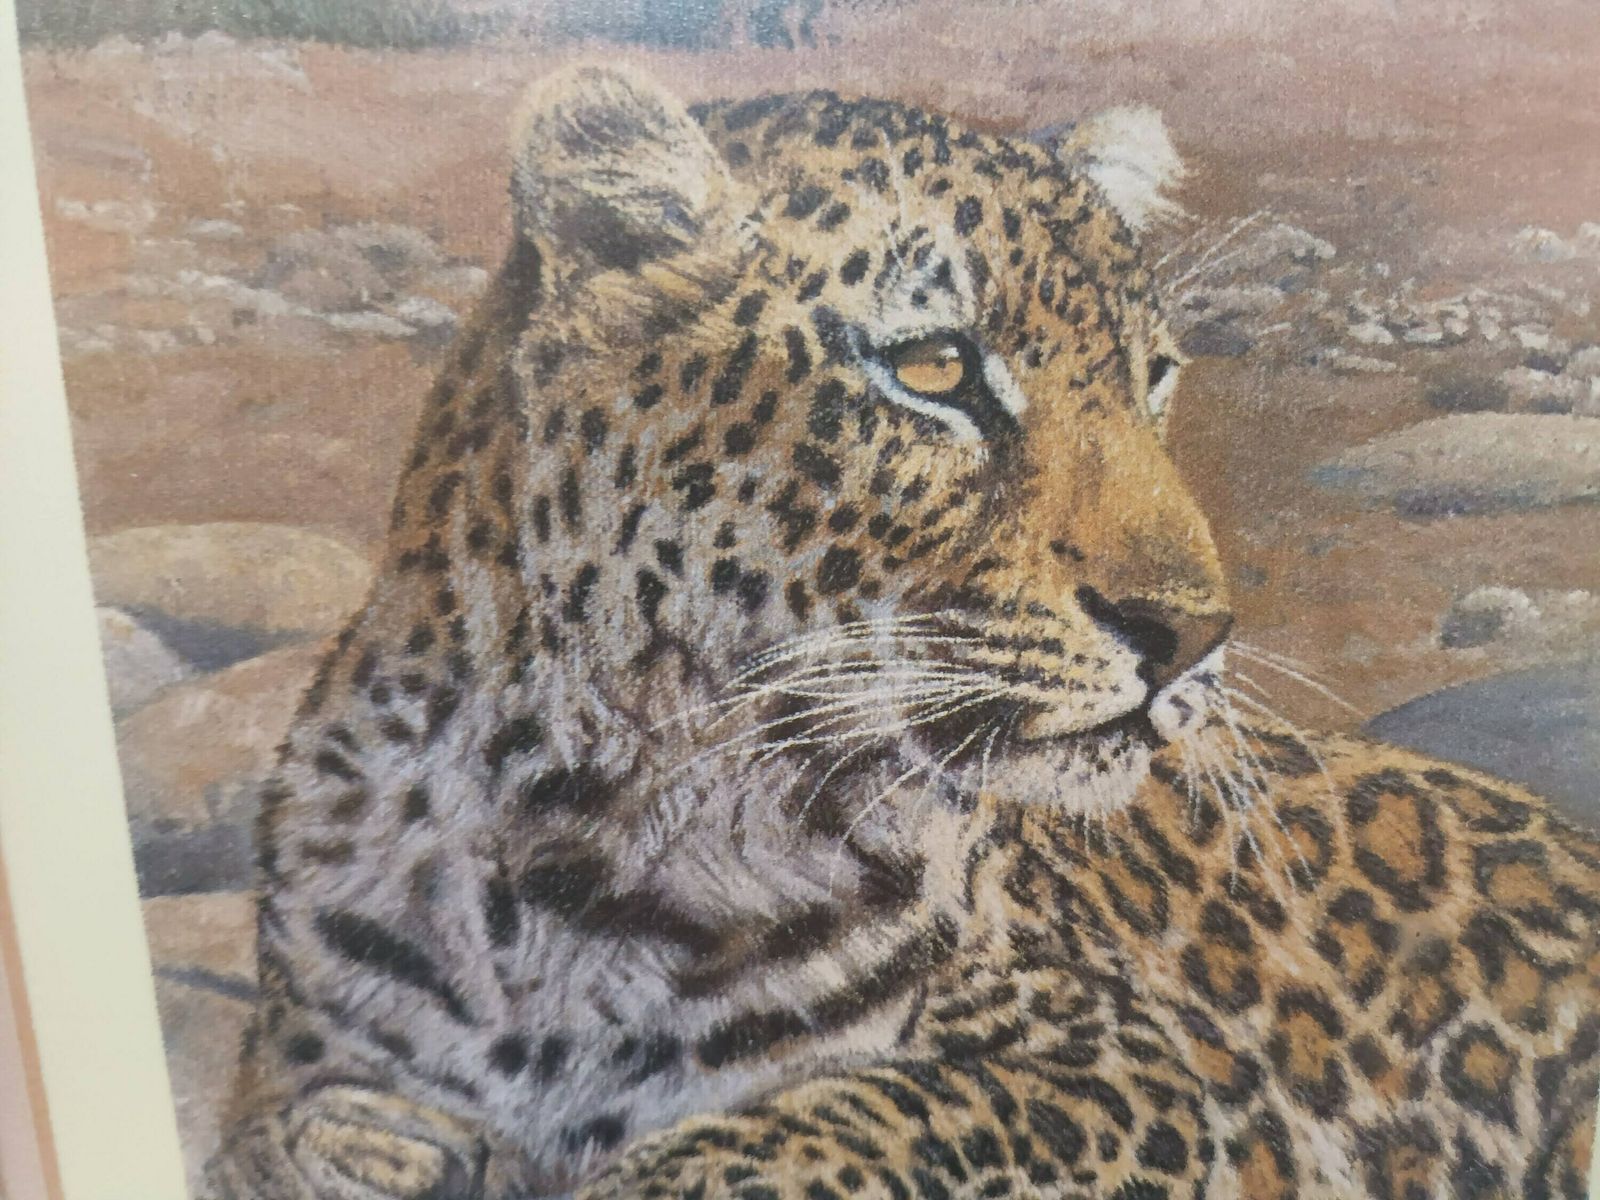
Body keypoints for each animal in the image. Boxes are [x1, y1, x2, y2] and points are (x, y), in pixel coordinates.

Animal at [204, 63, 1600, 1200]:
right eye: (934, 371)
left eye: (1149, 378)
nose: (1192, 631)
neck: (584, 850)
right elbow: (285, 1124)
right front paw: (360, 1145)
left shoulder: (1123, 1070)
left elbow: (832, 1122)